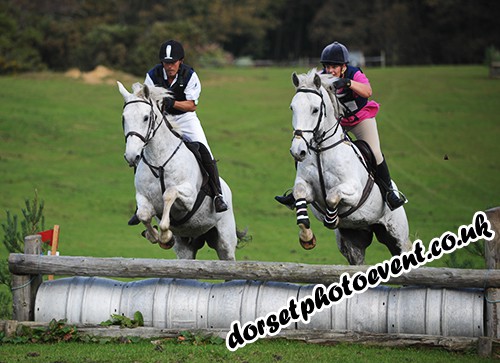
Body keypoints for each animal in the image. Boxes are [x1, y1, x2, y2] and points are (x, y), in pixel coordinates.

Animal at [118, 80, 241, 260]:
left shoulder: (189, 197)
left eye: (146, 117)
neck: (159, 161)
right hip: (185, 246)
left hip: (225, 241)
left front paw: (164, 236)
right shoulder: (143, 197)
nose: (132, 156)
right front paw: (159, 237)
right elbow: (143, 215)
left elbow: (169, 193)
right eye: (124, 118)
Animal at [290, 69, 410, 266]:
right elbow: (299, 194)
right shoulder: (306, 188)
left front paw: (331, 219)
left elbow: (332, 196)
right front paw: (307, 237)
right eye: (292, 108)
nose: (297, 151)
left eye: (315, 110)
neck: (321, 150)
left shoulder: (353, 191)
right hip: (354, 242)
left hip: (396, 235)